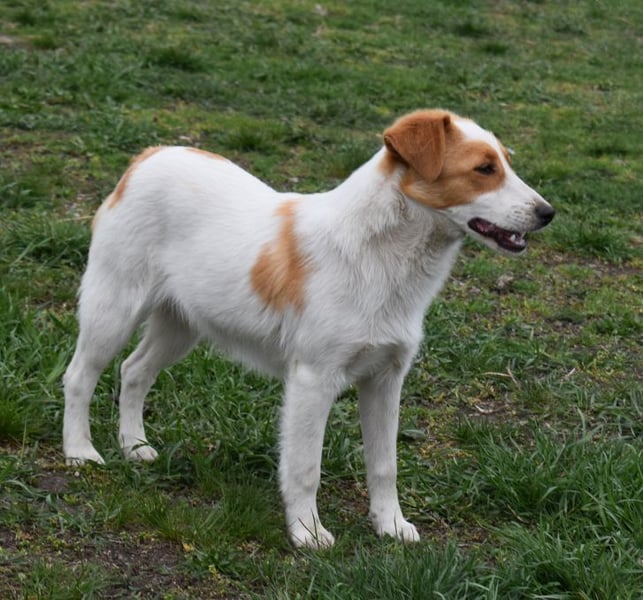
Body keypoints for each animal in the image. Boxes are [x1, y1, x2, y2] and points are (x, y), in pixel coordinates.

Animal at [63, 109, 554, 548]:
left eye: (506, 163)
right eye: (484, 169)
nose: (548, 212)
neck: (381, 261)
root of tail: (151, 156)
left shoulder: (386, 379)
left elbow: (385, 465)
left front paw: (390, 526)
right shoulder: (313, 382)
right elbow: (304, 469)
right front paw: (307, 533)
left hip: (179, 327)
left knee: (133, 372)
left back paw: (134, 446)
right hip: (113, 310)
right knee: (79, 377)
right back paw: (80, 452)